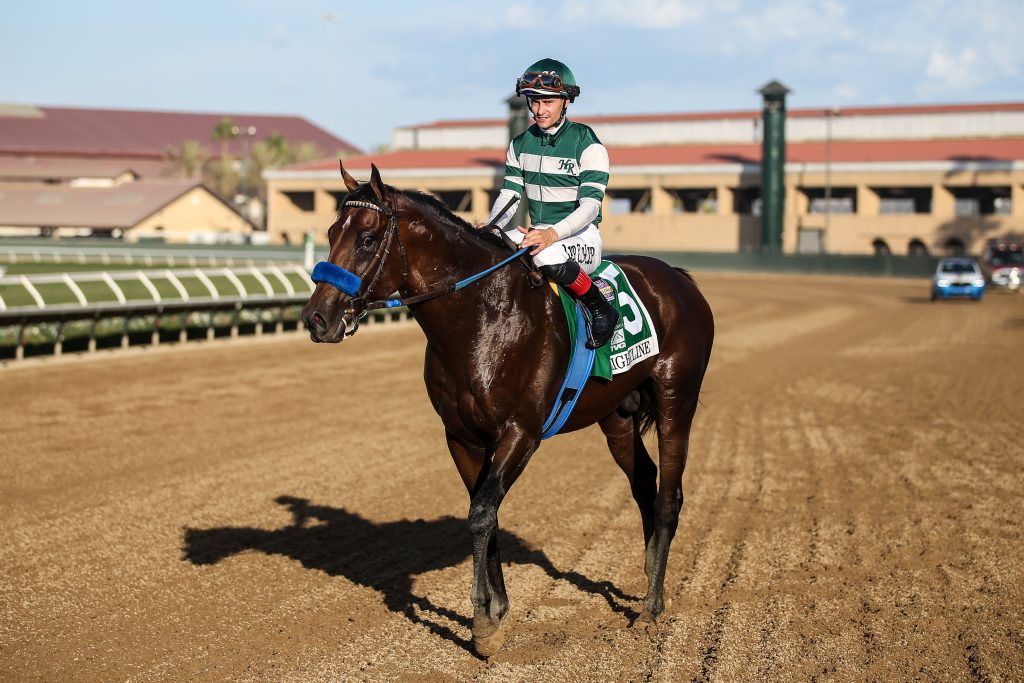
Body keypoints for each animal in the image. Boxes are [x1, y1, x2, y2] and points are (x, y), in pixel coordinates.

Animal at [299, 161, 716, 655]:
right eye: (330, 232)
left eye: (366, 239)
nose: (317, 318)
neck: (482, 318)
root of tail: (680, 278)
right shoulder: (462, 437)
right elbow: (486, 513)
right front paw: (496, 612)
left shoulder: (521, 432)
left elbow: (481, 513)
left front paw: (482, 622)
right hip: (616, 416)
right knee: (644, 485)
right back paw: (650, 576)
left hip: (676, 400)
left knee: (670, 496)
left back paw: (652, 604)